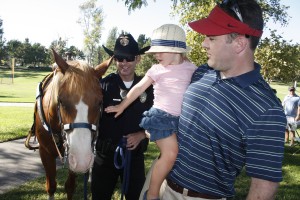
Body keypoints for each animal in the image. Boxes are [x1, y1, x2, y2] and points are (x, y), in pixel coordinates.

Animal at [25, 48, 112, 200]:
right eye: (61, 101)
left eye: (100, 102)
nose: (83, 159)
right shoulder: (45, 153)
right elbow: (51, 186)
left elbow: (70, 186)